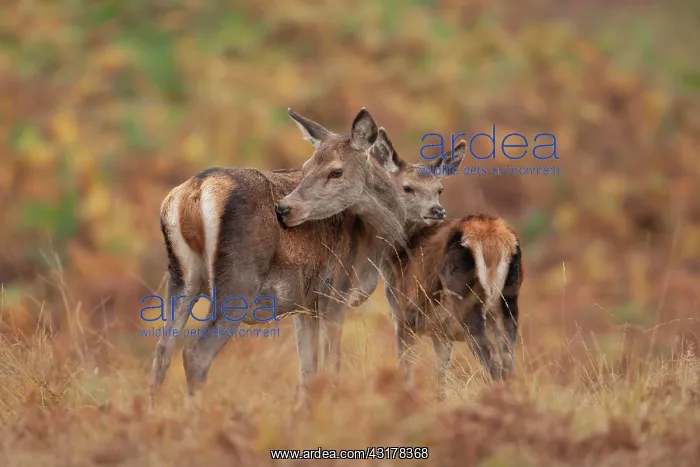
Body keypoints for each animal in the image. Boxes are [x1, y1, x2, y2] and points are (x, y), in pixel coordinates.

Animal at [150, 108, 440, 409]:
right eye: (306, 167)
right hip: (239, 281)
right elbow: (330, 368)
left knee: (162, 350)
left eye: (335, 171)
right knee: (195, 353)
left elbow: (308, 373)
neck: (374, 243)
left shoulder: (304, 305)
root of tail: (193, 192)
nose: (285, 209)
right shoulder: (335, 294)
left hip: (180, 277)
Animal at [286, 130, 523, 400]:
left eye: (439, 189)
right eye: (407, 187)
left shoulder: (404, 316)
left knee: (493, 365)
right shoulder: (440, 334)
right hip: (509, 303)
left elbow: (407, 372)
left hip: (466, 301)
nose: (437, 210)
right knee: (510, 365)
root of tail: (494, 239)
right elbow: (439, 383)